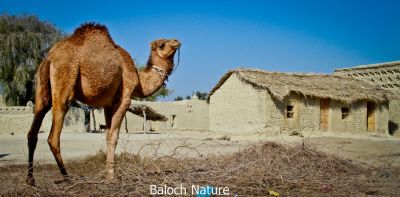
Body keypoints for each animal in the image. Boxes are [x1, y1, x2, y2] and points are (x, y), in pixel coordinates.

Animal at [26, 23, 180, 185]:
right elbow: (114, 137)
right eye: (162, 44)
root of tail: (49, 57)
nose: (177, 41)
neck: (139, 81)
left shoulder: (108, 104)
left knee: (33, 130)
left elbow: (107, 135)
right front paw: (111, 176)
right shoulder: (124, 99)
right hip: (64, 79)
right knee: (53, 137)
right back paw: (67, 177)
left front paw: (107, 173)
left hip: (42, 87)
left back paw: (30, 179)